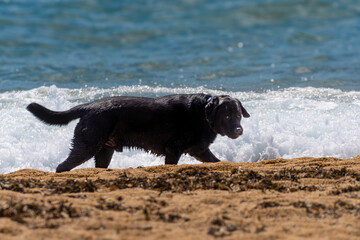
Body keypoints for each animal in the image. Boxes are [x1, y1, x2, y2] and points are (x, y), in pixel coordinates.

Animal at [26, 94, 250, 172]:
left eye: (238, 114)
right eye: (227, 116)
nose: (239, 130)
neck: (203, 113)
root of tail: (90, 106)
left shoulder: (200, 150)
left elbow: (216, 160)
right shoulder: (173, 151)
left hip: (104, 151)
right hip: (88, 145)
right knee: (62, 166)